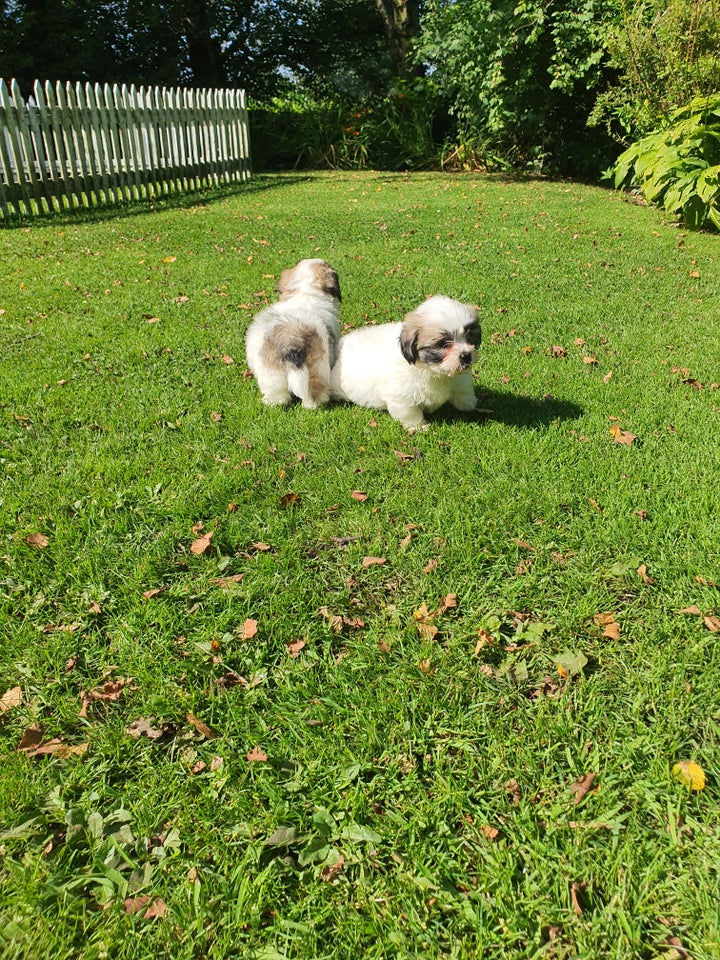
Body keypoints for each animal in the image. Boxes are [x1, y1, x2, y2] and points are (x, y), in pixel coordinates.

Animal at [245, 258, 340, 408]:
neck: (306, 294)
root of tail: (291, 339)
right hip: (317, 366)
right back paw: (314, 404)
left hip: (272, 371)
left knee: (278, 394)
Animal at [330, 290, 478, 430]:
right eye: (443, 343)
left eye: (470, 337)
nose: (466, 355)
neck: (433, 372)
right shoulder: (400, 396)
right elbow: (410, 412)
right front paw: (418, 427)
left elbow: (462, 387)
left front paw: (468, 403)